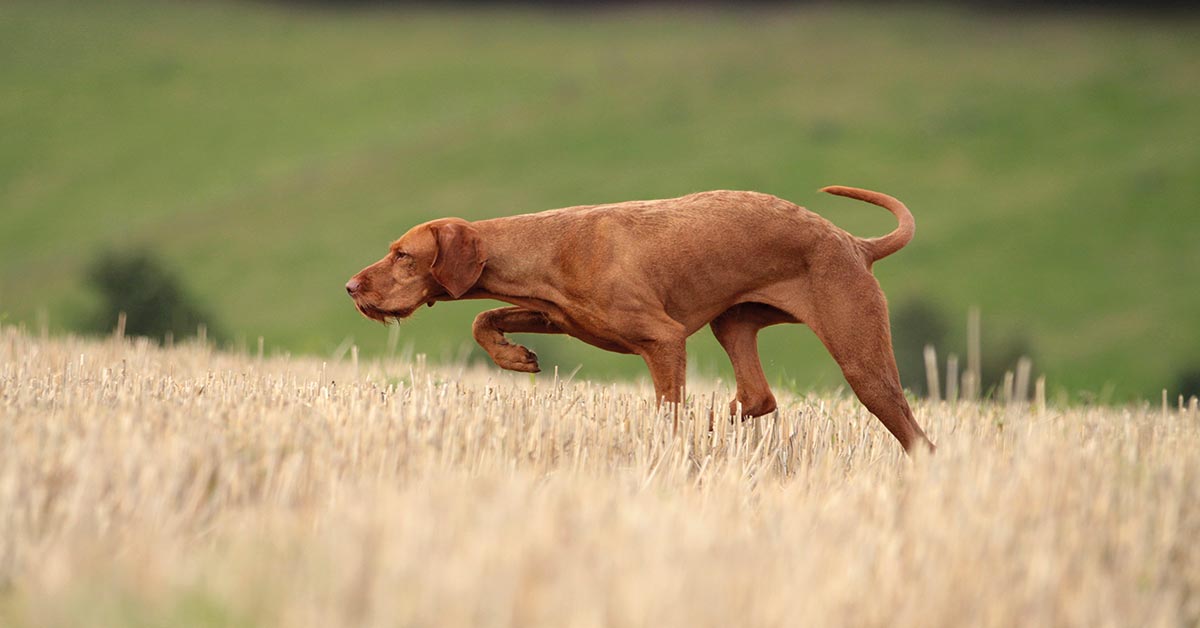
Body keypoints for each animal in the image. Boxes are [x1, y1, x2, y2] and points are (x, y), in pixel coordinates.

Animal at [348, 187, 936, 456]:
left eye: (403, 256)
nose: (352, 287)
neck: (546, 246)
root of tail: (855, 243)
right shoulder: (563, 317)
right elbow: (483, 317)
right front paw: (515, 357)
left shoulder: (664, 339)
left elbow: (667, 412)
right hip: (732, 324)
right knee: (758, 397)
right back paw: (717, 427)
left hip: (862, 361)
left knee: (918, 438)